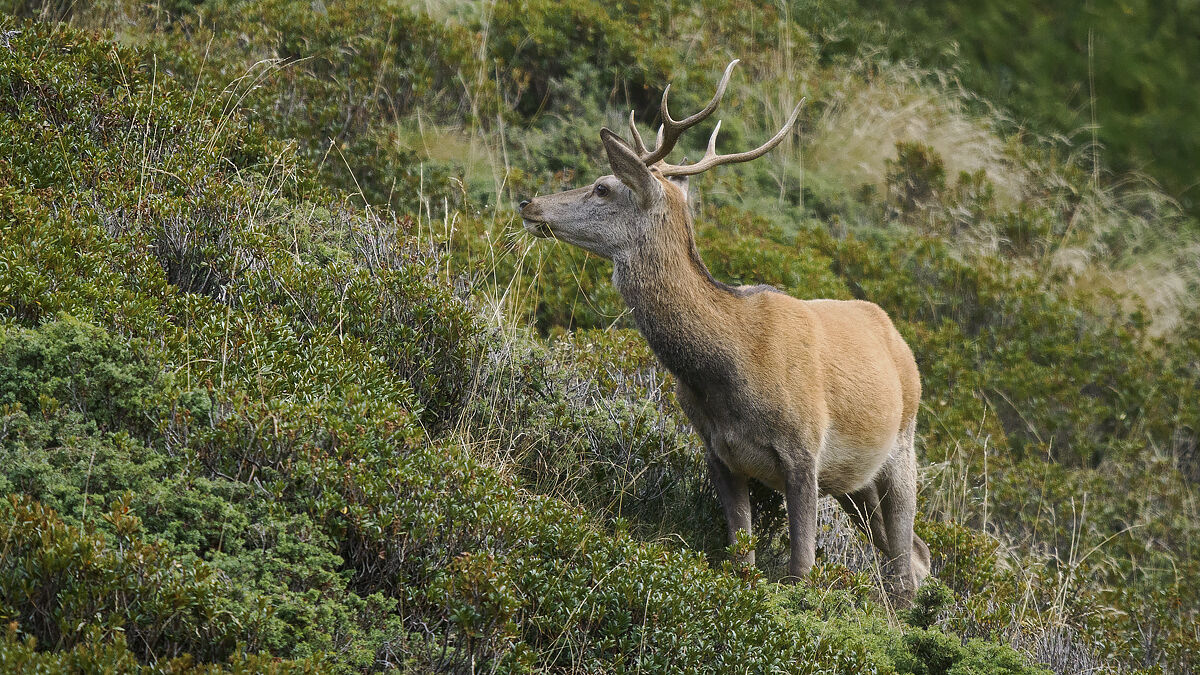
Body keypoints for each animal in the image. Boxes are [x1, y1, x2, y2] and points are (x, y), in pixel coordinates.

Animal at [519, 60, 930, 602]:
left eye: (603, 186)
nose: (529, 203)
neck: (726, 367)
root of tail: (899, 342)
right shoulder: (717, 451)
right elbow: (741, 561)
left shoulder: (804, 449)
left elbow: (800, 570)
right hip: (855, 484)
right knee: (917, 553)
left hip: (902, 443)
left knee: (906, 557)